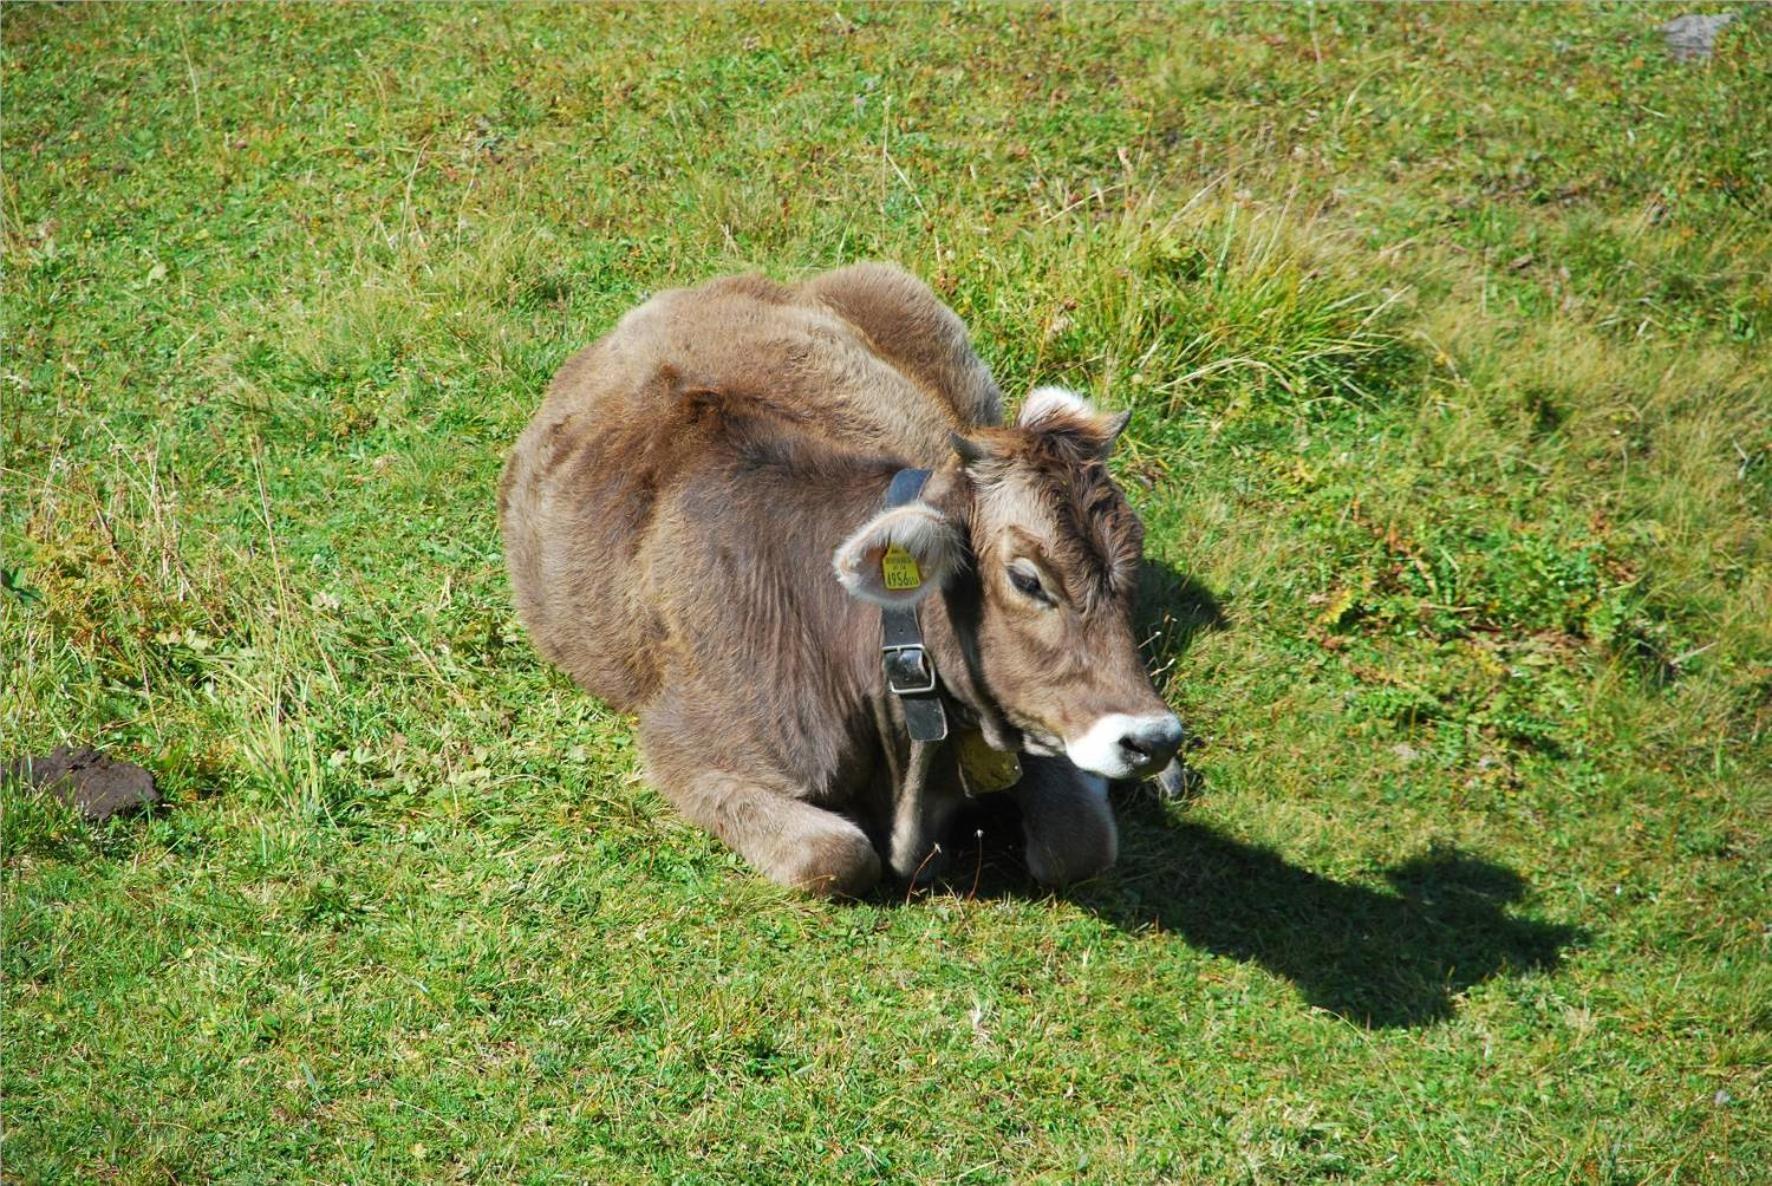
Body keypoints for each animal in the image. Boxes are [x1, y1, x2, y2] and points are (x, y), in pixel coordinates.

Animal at [499, 264, 1183, 893]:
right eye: (1028, 580)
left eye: (1133, 557)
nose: (1154, 739)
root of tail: (691, 292)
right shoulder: (681, 746)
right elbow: (834, 855)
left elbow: (1080, 844)